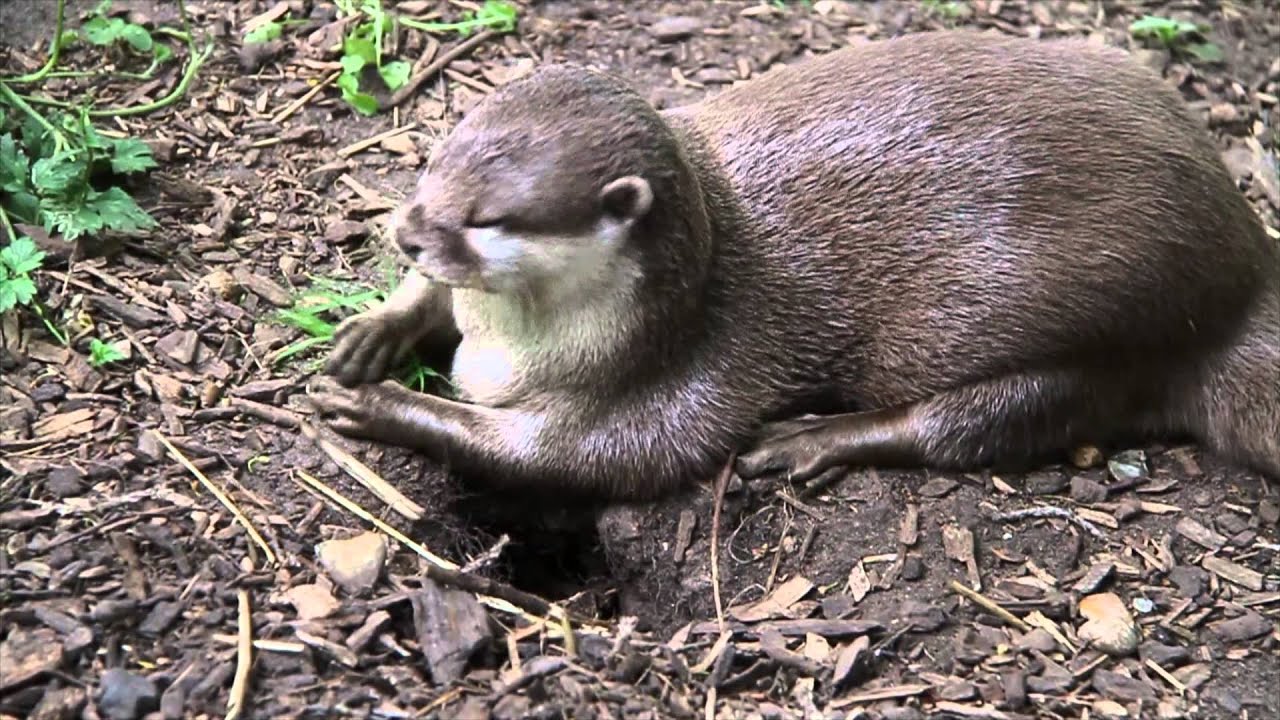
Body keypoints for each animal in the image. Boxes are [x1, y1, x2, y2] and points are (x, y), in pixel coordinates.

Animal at [308, 29, 1280, 501]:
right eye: (436, 162)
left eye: (491, 219)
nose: (409, 231)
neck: (509, 349)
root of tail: (1242, 267)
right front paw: (372, 335)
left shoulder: (674, 379)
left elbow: (565, 459)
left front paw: (384, 406)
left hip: (1086, 329)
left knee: (978, 419)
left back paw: (810, 441)